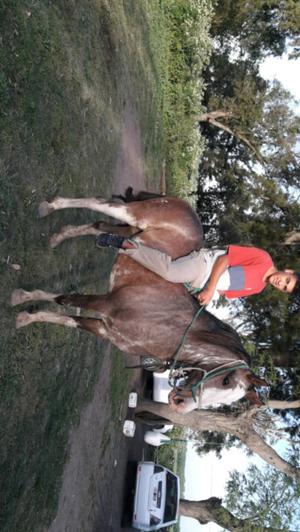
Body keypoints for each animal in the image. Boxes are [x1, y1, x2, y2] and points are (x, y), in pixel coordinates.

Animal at [10, 194, 266, 412]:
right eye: (226, 381)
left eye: (225, 402)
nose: (180, 404)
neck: (172, 327)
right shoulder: (106, 304)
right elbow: (64, 299)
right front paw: (24, 300)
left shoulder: (105, 329)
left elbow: (67, 319)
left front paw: (26, 315)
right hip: (132, 214)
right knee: (98, 203)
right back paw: (51, 206)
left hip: (132, 228)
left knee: (101, 225)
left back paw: (61, 236)